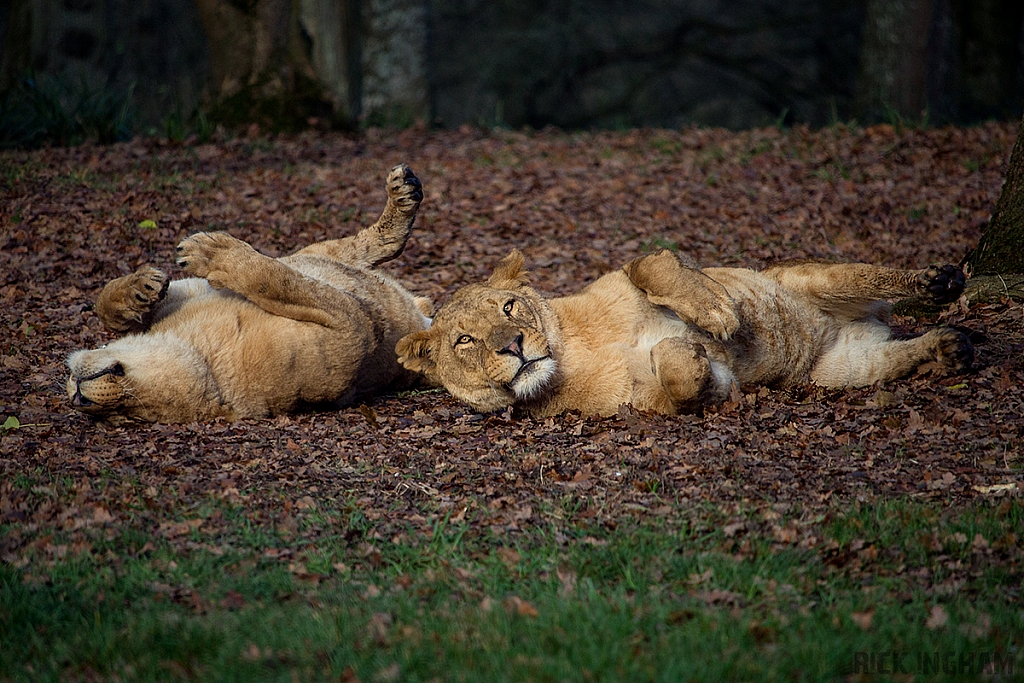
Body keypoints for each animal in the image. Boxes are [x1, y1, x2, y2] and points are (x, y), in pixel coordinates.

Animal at [64, 163, 432, 421]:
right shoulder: (352, 331)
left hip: (315, 255)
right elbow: (274, 280)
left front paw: (145, 287)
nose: (78, 397)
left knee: (358, 247)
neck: (198, 347)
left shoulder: (192, 292)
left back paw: (404, 193)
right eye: (127, 415)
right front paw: (199, 258)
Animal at [395, 248, 970, 419]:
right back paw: (948, 348)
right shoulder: (642, 403)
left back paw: (940, 282)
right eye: (464, 341)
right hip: (842, 370)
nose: (512, 345)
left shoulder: (629, 276)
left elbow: (653, 263)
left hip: (814, 279)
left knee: (877, 275)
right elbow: (680, 378)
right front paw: (690, 354)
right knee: (894, 356)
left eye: (509, 307)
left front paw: (717, 313)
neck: (573, 351)